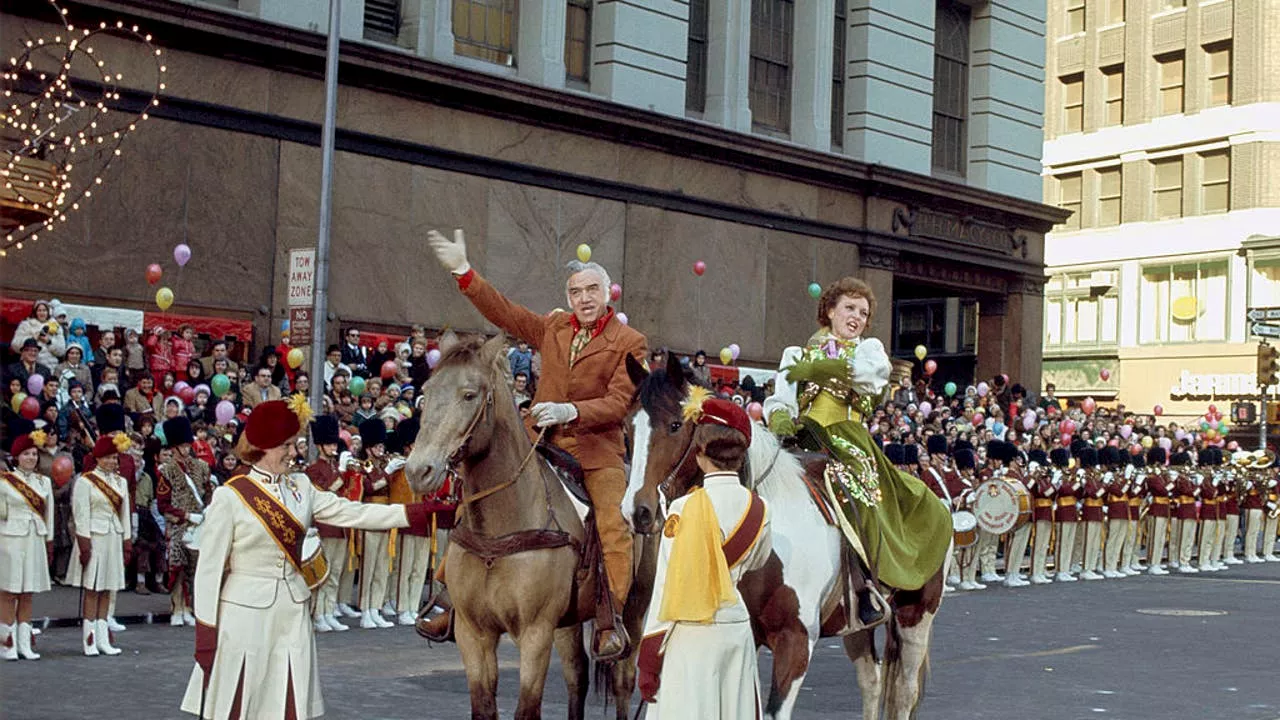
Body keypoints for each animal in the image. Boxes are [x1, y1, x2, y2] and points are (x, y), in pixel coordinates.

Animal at [624, 353, 947, 717]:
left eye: (676, 425)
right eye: (627, 430)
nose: (638, 510)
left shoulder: (796, 639)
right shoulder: (746, 636)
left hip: (915, 616)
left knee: (904, 691)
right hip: (857, 623)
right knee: (871, 681)